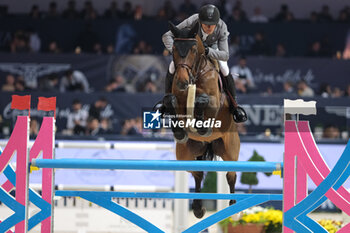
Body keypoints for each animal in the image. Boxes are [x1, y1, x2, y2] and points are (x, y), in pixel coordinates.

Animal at [163, 22, 241, 218]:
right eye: (173, 49)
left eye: (193, 49)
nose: (182, 82)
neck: (195, 74)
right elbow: (170, 100)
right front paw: (179, 131)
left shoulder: (215, 103)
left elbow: (203, 101)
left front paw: (202, 126)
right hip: (185, 154)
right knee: (197, 173)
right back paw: (198, 208)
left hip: (230, 150)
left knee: (231, 175)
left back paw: (233, 207)